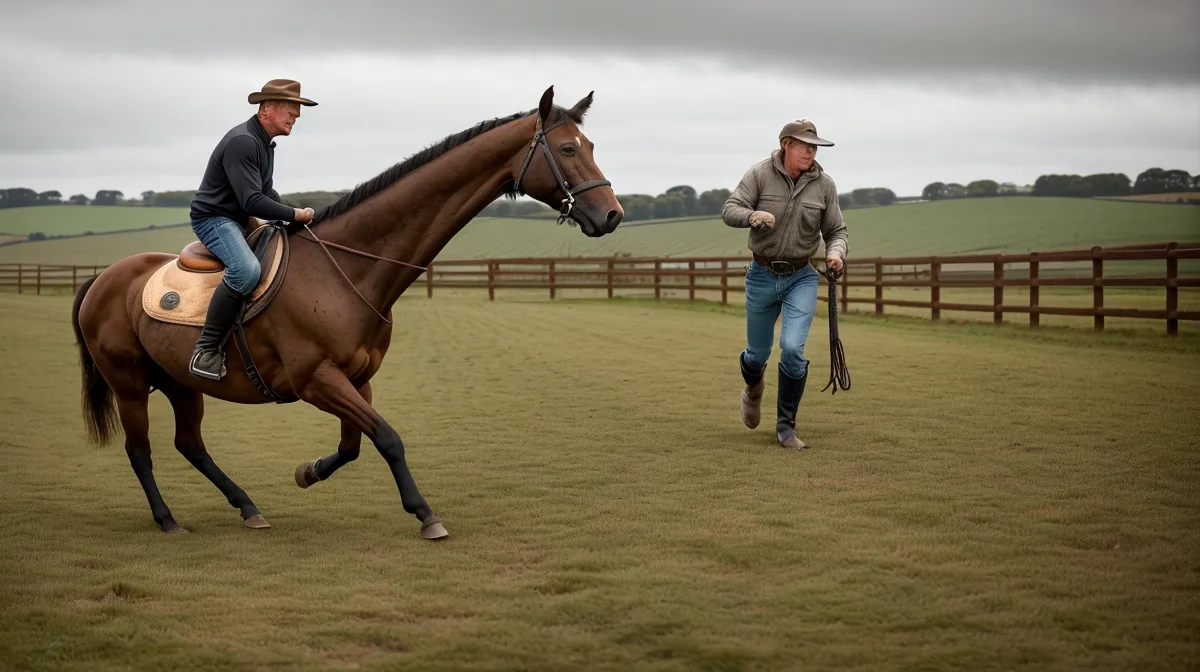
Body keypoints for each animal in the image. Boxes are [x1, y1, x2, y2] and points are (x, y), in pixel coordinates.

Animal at [71, 86, 623, 540]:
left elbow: (357, 445)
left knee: (190, 444)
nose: (612, 215)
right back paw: (167, 520)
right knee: (140, 451)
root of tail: (103, 278)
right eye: (568, 149)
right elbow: (389, 437)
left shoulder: (357, 378)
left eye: (591, 146)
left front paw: (309, 471)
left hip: (180, 382)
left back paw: (247, 507)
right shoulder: (318, 380)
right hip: (129, 383)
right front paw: (426, 515)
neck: (346, 269)